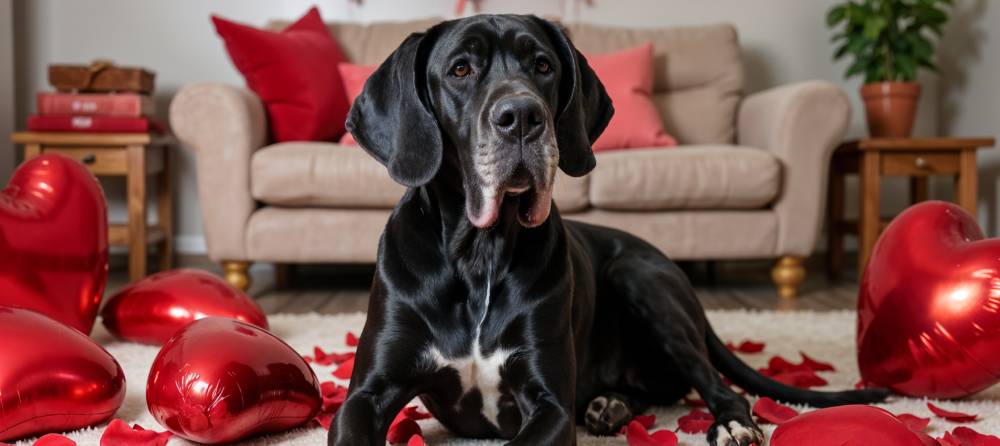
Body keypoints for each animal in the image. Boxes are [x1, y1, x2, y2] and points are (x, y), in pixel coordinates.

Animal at [328, 13, 884, 446]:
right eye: (460, 69)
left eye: (543, 66)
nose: (523, 116)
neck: (477, 253)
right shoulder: (365, 396)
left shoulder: (551, 404)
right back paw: (609, 406)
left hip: (640, 279)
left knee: (716, 384)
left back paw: (727, 424)